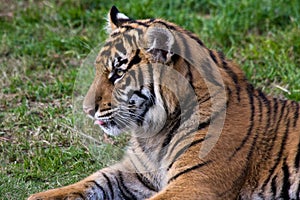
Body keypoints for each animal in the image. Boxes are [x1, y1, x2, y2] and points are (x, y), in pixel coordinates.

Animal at [28, 5, 300, 199]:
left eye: (118, 73)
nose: (86, 110)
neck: (152, 134)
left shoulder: (194, 184)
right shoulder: (136, 173)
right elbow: (90, 182)